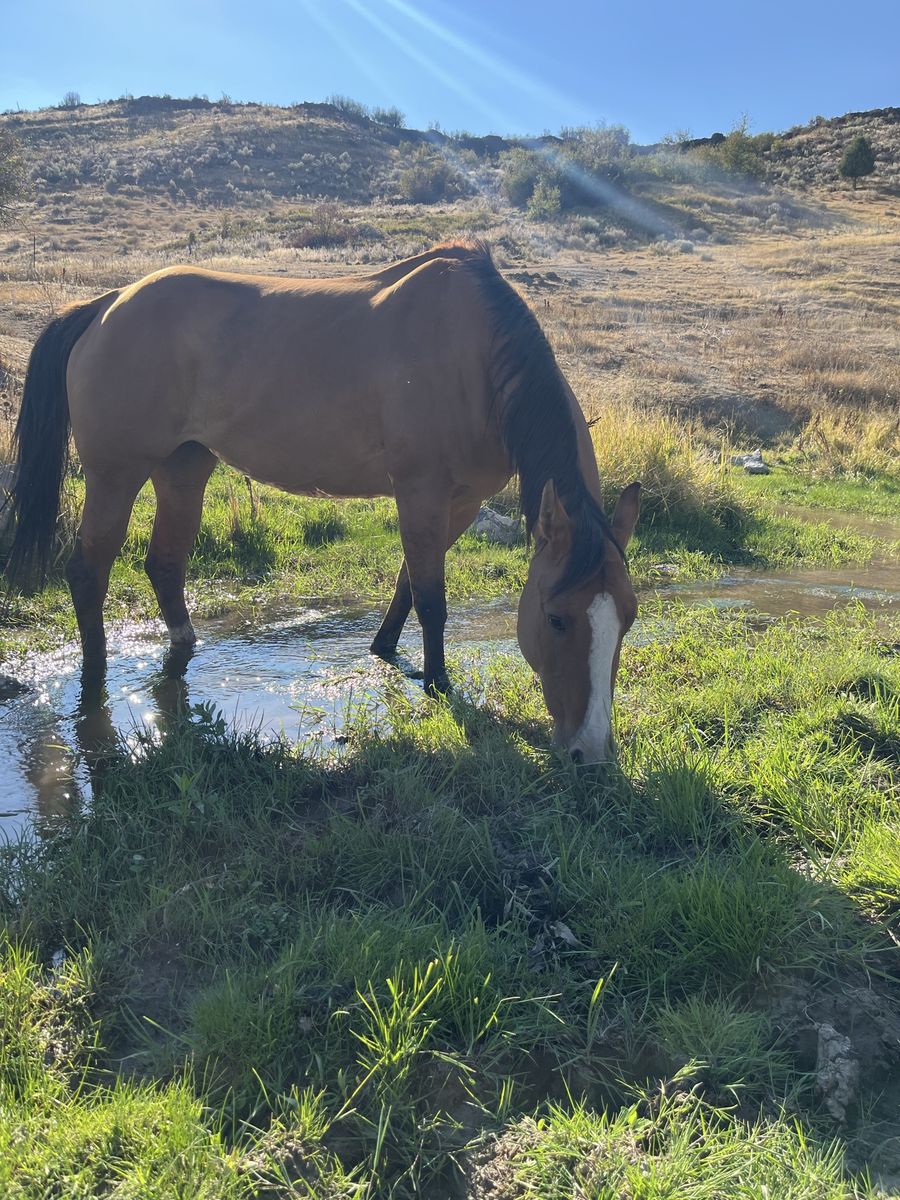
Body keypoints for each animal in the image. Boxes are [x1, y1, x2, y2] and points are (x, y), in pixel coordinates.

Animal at [5, 241, 640, 763]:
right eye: (556, 618)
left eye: (628, 619)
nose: (591, 752)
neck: (479, 358)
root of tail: (106, 304)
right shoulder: (421, 491)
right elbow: (432, 599)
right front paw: (437, 684)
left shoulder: (458, 503)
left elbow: (409, 581)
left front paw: (385, 648)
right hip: (115, 477)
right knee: (88, 570)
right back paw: (94, 677)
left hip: (183, 471)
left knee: (164, 563)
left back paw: (184, 645)